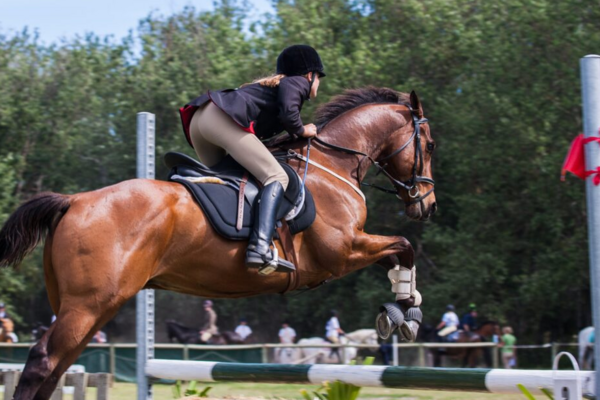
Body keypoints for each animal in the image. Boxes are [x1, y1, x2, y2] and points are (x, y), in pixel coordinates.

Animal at [0, 86, 434, 398]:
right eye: (428, 146)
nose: (426, 205)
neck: (333, 165)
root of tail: (74, 201)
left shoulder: (351, 249)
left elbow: (397, 254)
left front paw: (406, 306)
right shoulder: (341, 252)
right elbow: (403, 245)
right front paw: (404, 315)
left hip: (86, 307)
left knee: (58, 367)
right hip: (87, 305)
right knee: (43, 362)